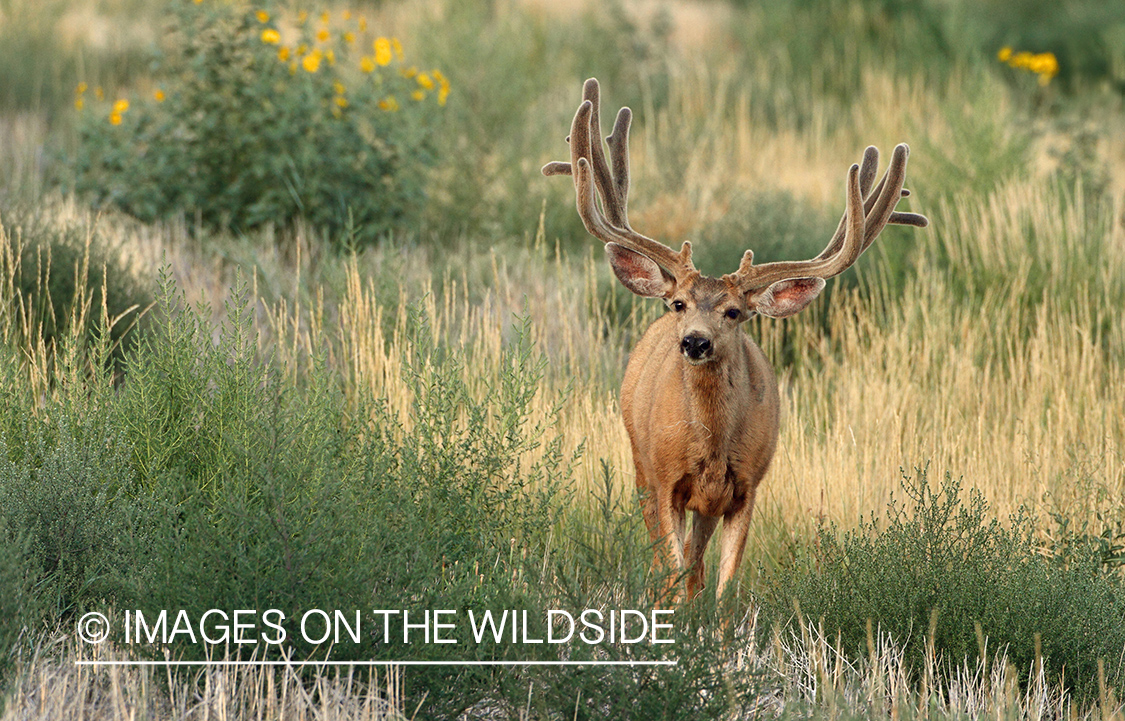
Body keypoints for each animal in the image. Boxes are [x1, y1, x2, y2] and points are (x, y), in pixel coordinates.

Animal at [543, 79, 928, 601]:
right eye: (678, 303)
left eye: (734, 312)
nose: (695, 342)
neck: (711, 448)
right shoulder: (665, 481)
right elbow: (674, 574)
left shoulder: (746, 488)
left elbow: (722, 592)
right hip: (640, 468)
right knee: (666, 564)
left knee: (697, 568)